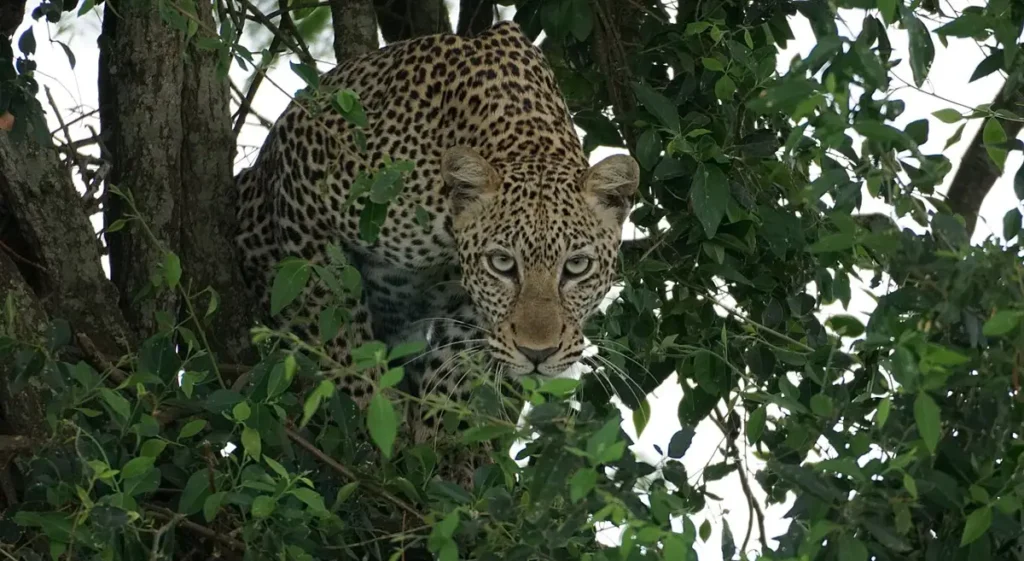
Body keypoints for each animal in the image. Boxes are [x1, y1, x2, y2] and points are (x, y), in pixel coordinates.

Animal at [235, 20, 639, 469]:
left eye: (576, 267)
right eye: (502, 264)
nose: (538, 354)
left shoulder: (469, 307)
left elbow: (454, 365)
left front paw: (437, 452)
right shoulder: (301, 200)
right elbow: (337, 332)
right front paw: (371, 428)